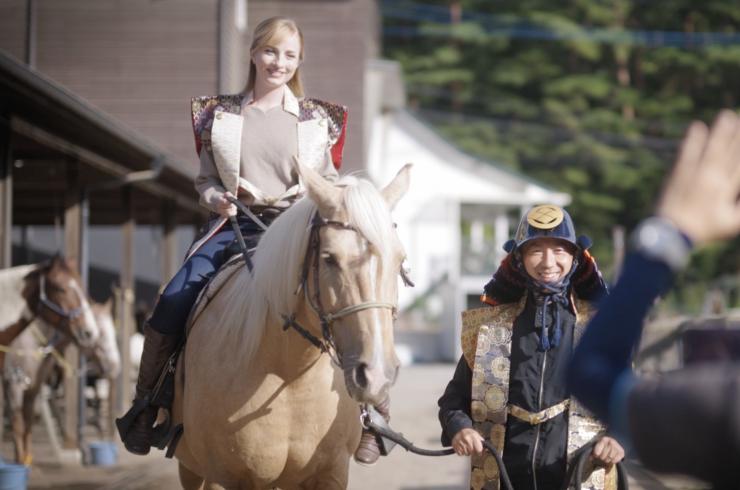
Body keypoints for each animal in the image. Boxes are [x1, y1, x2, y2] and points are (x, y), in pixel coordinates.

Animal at [173, 164, 410, 490]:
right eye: (329, 258)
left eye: (400, 260)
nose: (376, 376)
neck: (289, 376)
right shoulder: (224, 477)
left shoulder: (330, 474)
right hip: (192, 469)